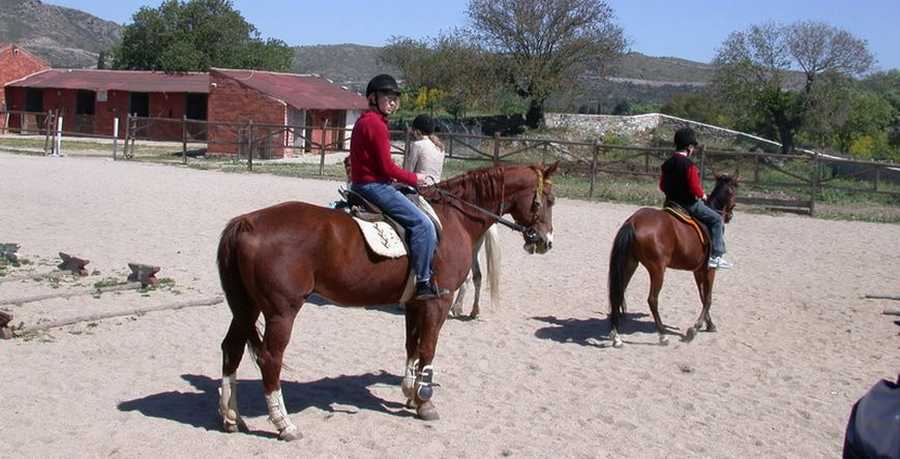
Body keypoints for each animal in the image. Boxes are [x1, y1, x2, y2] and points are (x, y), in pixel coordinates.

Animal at [216, 162, 558, 440]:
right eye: (550, 200)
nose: (546, 241)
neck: (454, 219)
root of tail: (247, 222)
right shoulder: (439, 302)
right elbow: (428, 348)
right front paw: (425, 400)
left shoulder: (415, 302)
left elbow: (412, 346)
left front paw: (410, 392)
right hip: (281, 312)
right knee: (270, 359)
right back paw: (284, 424)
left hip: (246, 308)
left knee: (232, 349)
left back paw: (232, 417)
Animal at [606, 175, 738, 348]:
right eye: (733, 191)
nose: (729, 216)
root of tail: (633, 221)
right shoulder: (710, 270)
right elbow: (708, 299)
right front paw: (694, 329)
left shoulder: (698, 271)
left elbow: (702, 297)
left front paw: (709, 324)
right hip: (657, 269)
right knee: (652, 299)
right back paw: (662, 335)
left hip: (630, 264)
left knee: (618, 293)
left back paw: (616, 336)